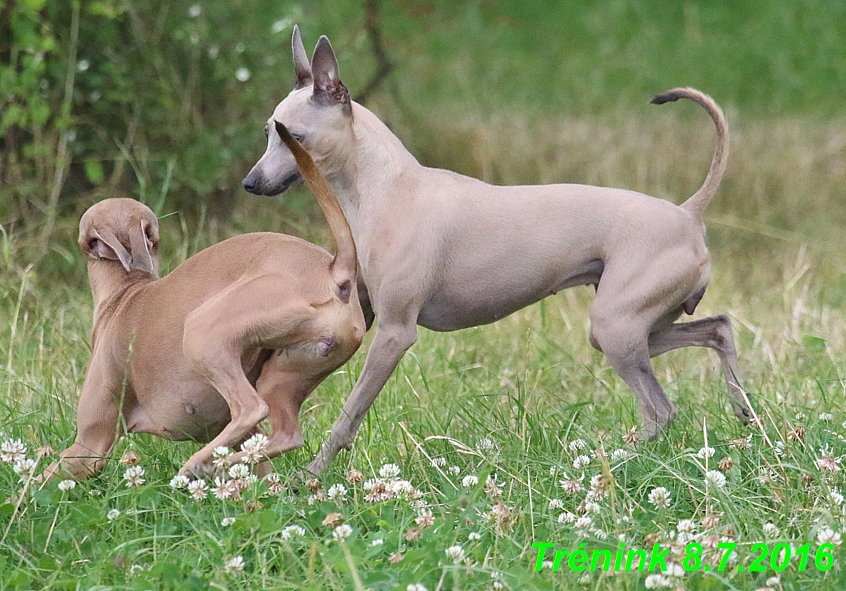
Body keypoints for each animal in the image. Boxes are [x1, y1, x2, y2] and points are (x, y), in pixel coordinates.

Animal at [45, 126, 364, 480]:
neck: (126, 292)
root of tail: (335, 271)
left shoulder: (89, 444)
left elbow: (40, 481)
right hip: (282, 376)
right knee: (284, 435)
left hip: (203, 333)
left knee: (251, 410)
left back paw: (195, 466)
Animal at [242, 27, 752, 478]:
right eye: (268, 132)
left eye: (295, 137)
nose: (250, 183)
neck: (386, 190)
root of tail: (687, 213)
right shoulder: (359, 314)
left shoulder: (394, 333)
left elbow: (349, 413)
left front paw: (312, 473)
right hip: (635, 328)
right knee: (717, 329)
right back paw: (744, 414)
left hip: (617, 328)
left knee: (660, 410)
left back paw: (607, 460)